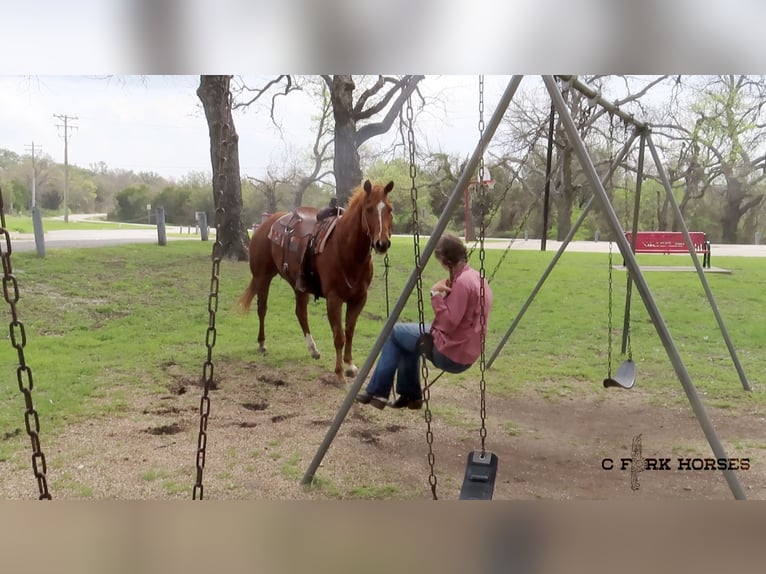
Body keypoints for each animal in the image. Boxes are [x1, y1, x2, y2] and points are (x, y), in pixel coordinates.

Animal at [240, 178, 396, 380]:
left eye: (390, 209)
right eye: (369, 209)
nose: (382, 243)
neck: (346, 249)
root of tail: (266, 223)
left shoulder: (359, 299)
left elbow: (349, 332)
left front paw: (350, 365)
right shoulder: (334, 299)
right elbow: (339, 335)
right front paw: (339, 373)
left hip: (299, 286)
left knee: (301, 312)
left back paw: (313, 349)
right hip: (262, 276)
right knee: (262, 308)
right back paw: (262, 343)